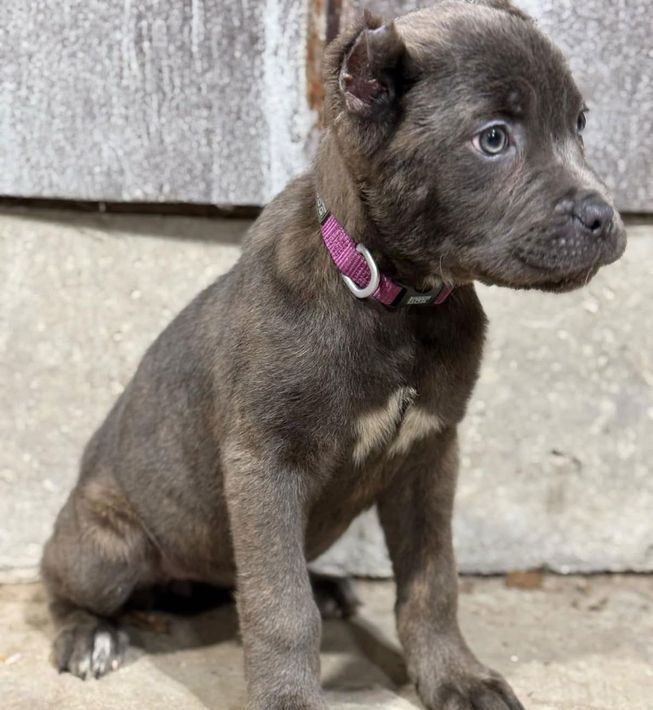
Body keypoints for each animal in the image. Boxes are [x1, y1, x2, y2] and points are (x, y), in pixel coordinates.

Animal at [42, 2, 628, 708]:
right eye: (493, 139)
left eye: (580, 123)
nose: (606, 219)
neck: (392, 301)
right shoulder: (265, 465)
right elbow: (280, 606)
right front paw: (289, 698)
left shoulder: (430, 456)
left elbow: (432, 582)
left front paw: (455, 677)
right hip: (106, 548)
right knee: (65, 583)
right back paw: (88, 635)